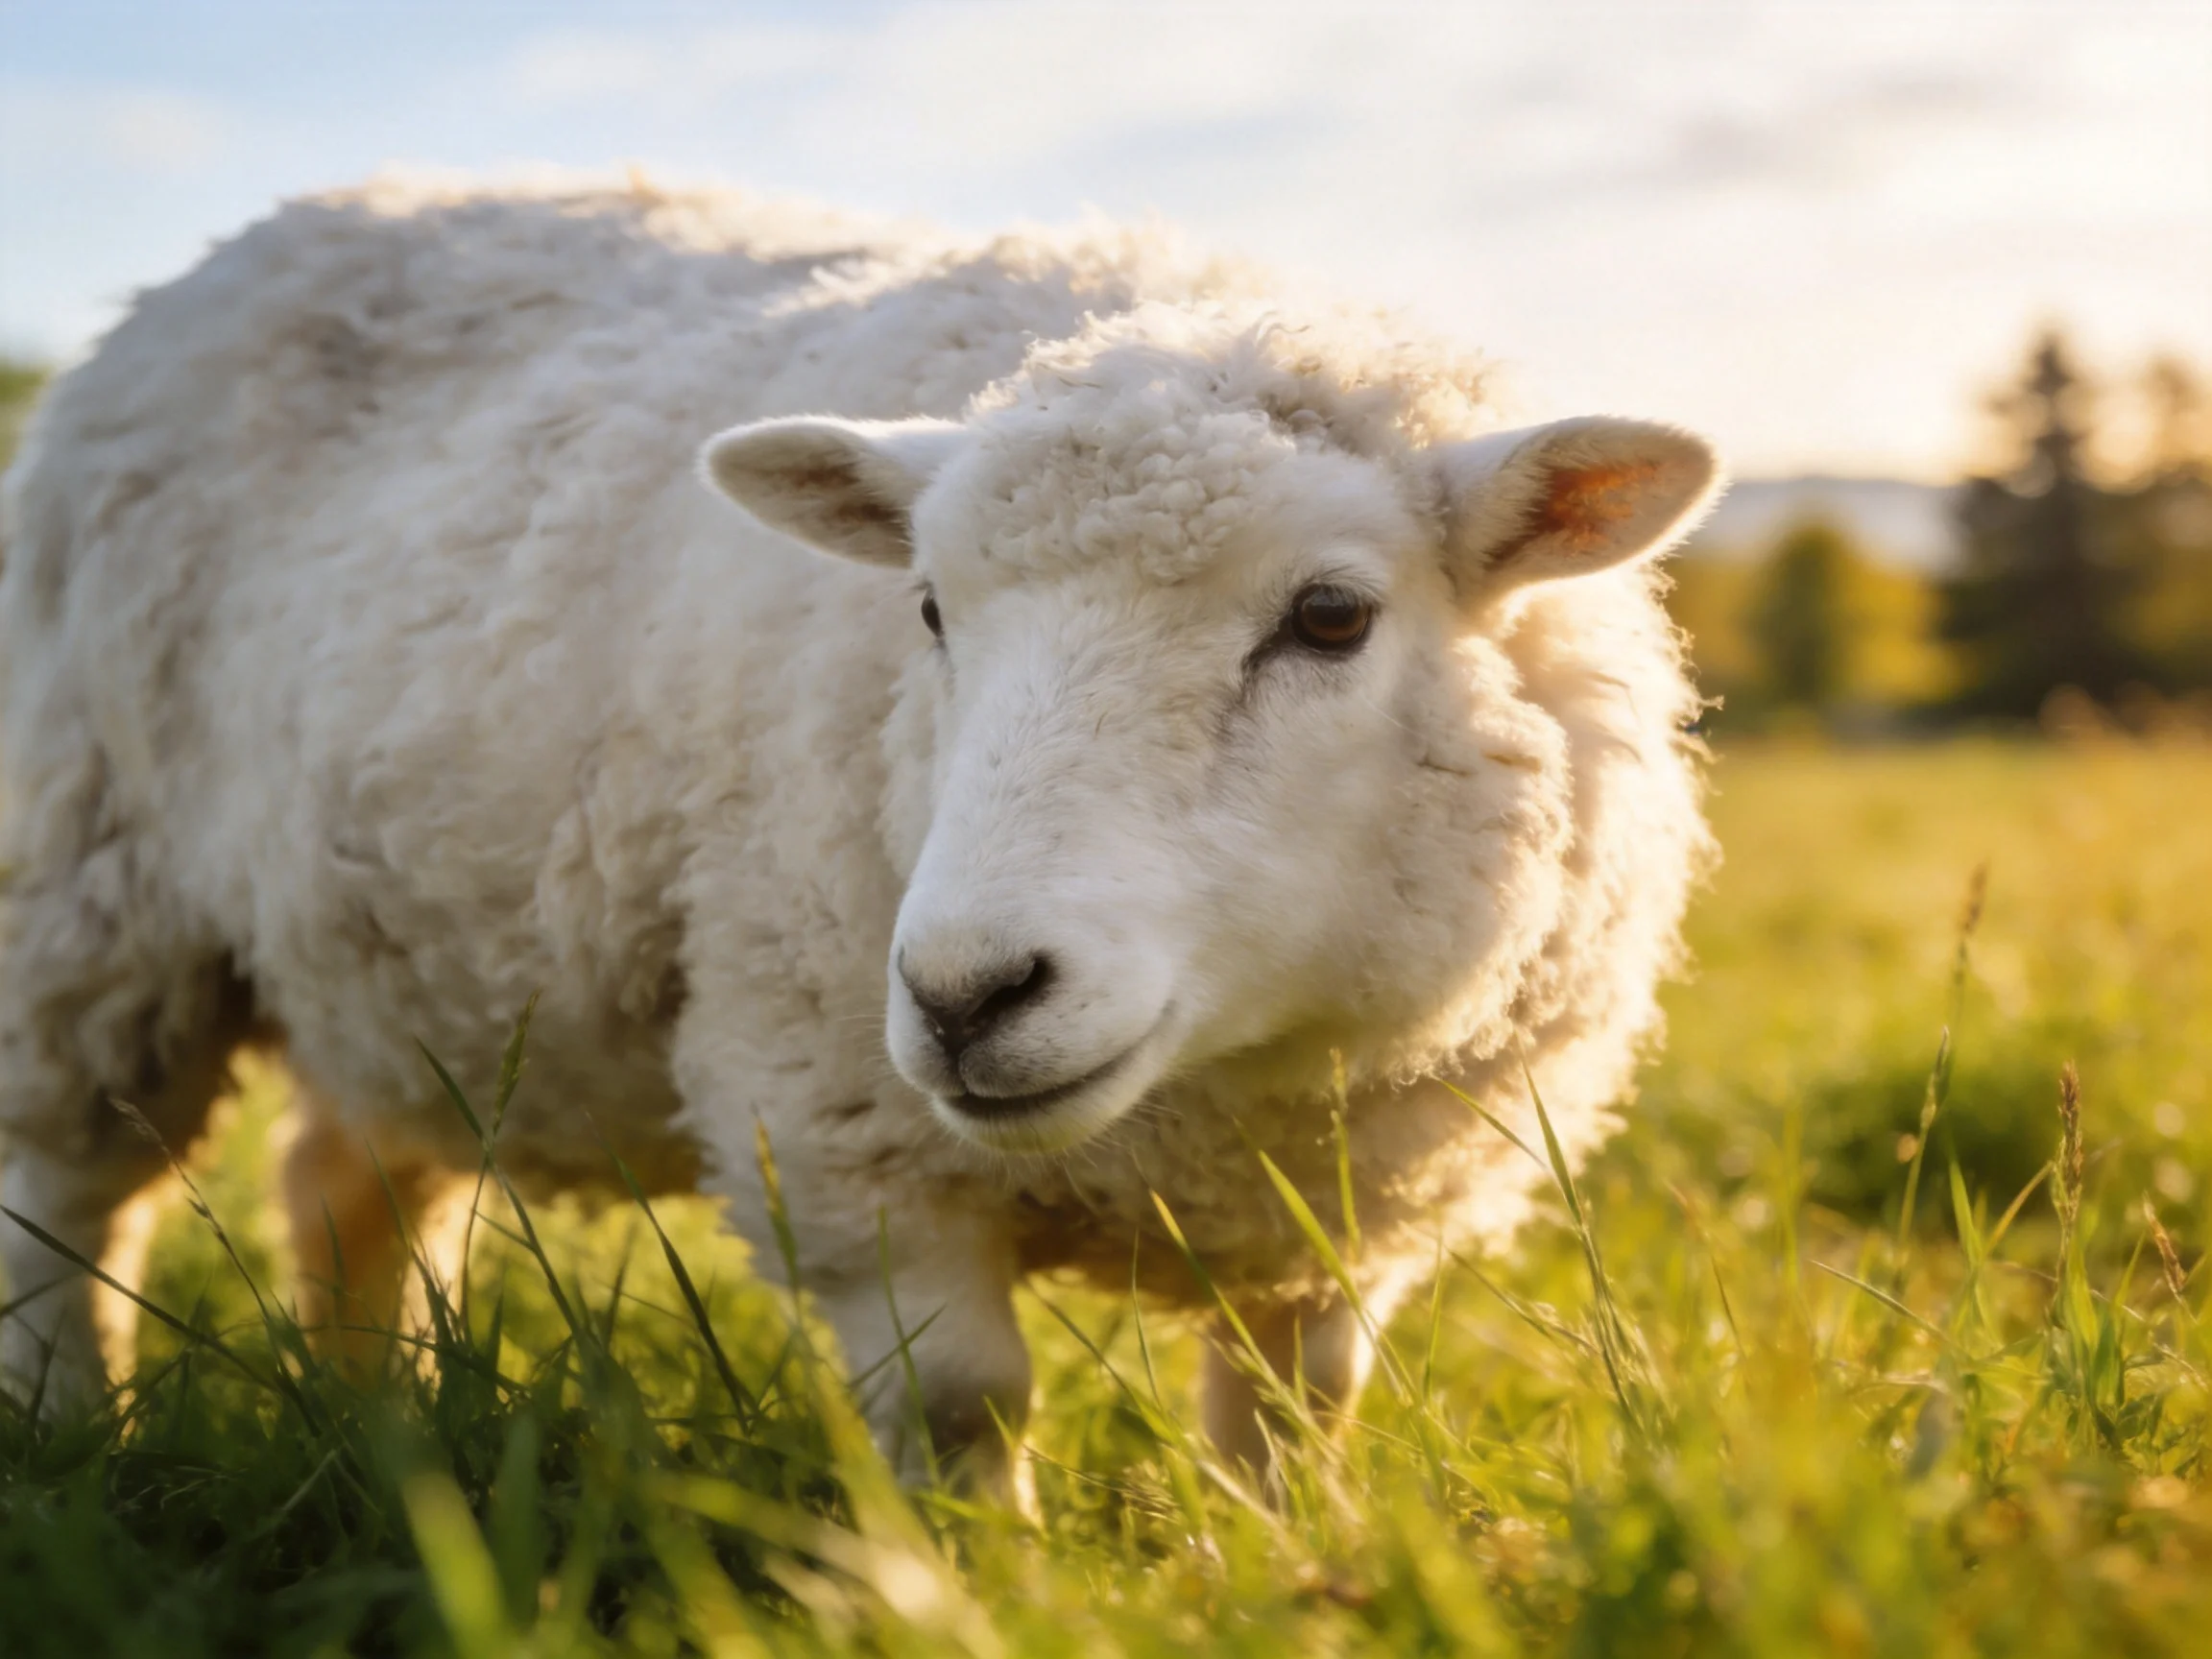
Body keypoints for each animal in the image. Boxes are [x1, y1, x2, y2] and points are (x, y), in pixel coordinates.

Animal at [0, 177, 1717, 1486]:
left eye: (1333, 616)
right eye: (930, 608)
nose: (967, 996)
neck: (1220, 1090)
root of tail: (233, 250)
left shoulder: (1345, 1216)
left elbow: (1294, 1422)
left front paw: (1286, 1572)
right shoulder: (835, 1125)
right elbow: (966, 1408)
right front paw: (986, 1591)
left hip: (398, 946)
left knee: (353, 1187)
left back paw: (393, 1431)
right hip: (87, 889)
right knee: (63, 1202)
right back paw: (71, 1439)